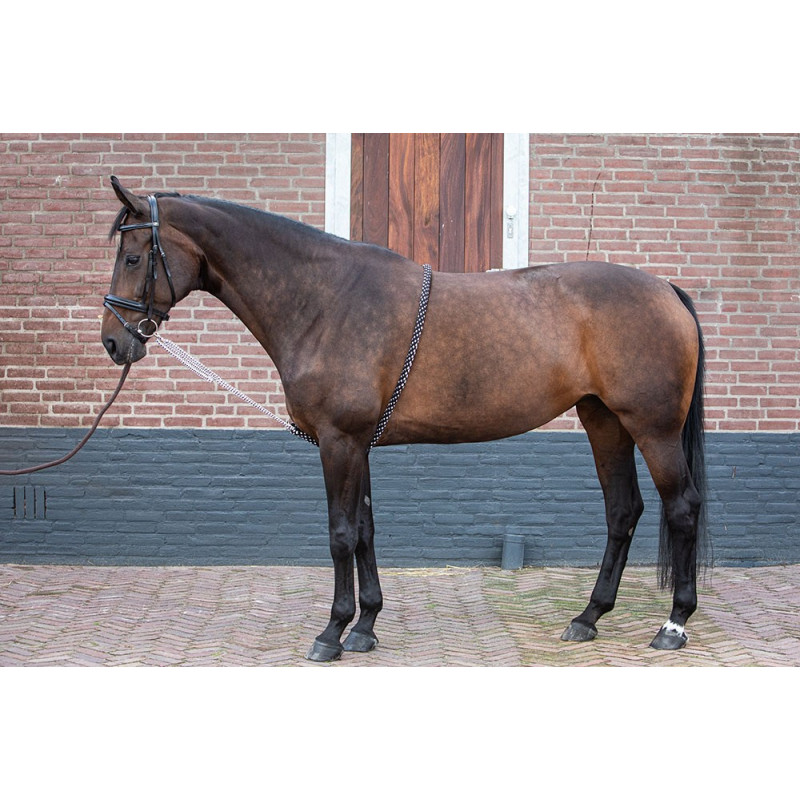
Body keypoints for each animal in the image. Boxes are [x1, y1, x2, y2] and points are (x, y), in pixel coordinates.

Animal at [101, 176, 707, 662]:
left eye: (132, 257)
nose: (113, 342)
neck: (325, 300)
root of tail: (666, 289)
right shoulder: (357, 442)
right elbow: (366, 530)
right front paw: (365, 626)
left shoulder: (339, 441)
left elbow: (341, 534)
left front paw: (331, 633)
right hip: (604, 421)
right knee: (623, 510)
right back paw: (587, 618)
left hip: (652, 429)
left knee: (682, 507)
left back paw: (673, 624)